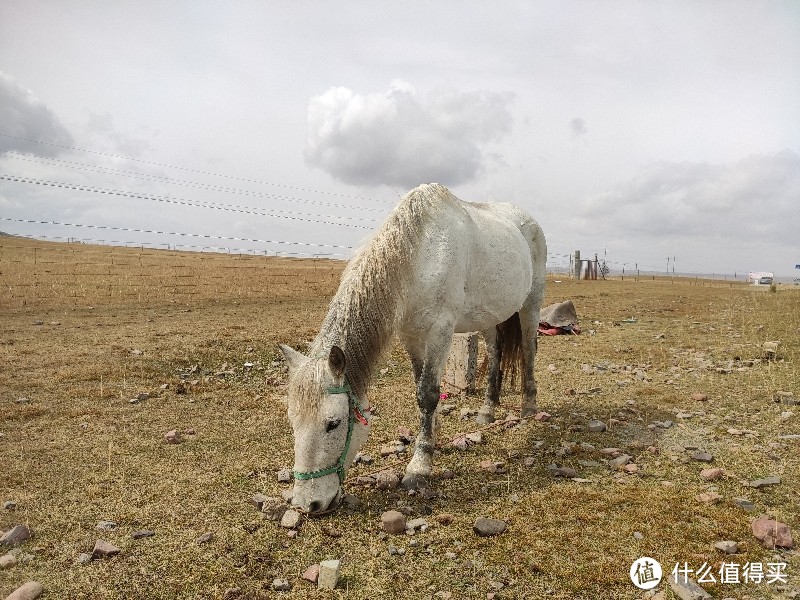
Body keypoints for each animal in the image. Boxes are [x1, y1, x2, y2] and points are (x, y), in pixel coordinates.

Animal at [278, 184, 548, 516]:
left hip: (530, 303)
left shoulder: (440, 331)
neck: (419, 255)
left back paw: (528, 408)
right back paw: (487, 411)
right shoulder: (411, 336)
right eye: (292, 422)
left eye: (333, 424)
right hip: (489, 315)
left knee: (529, 348)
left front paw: (419, 466)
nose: (308, 504)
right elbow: (420, 389)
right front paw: (432, 436)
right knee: (495, 352)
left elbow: (427, 394)